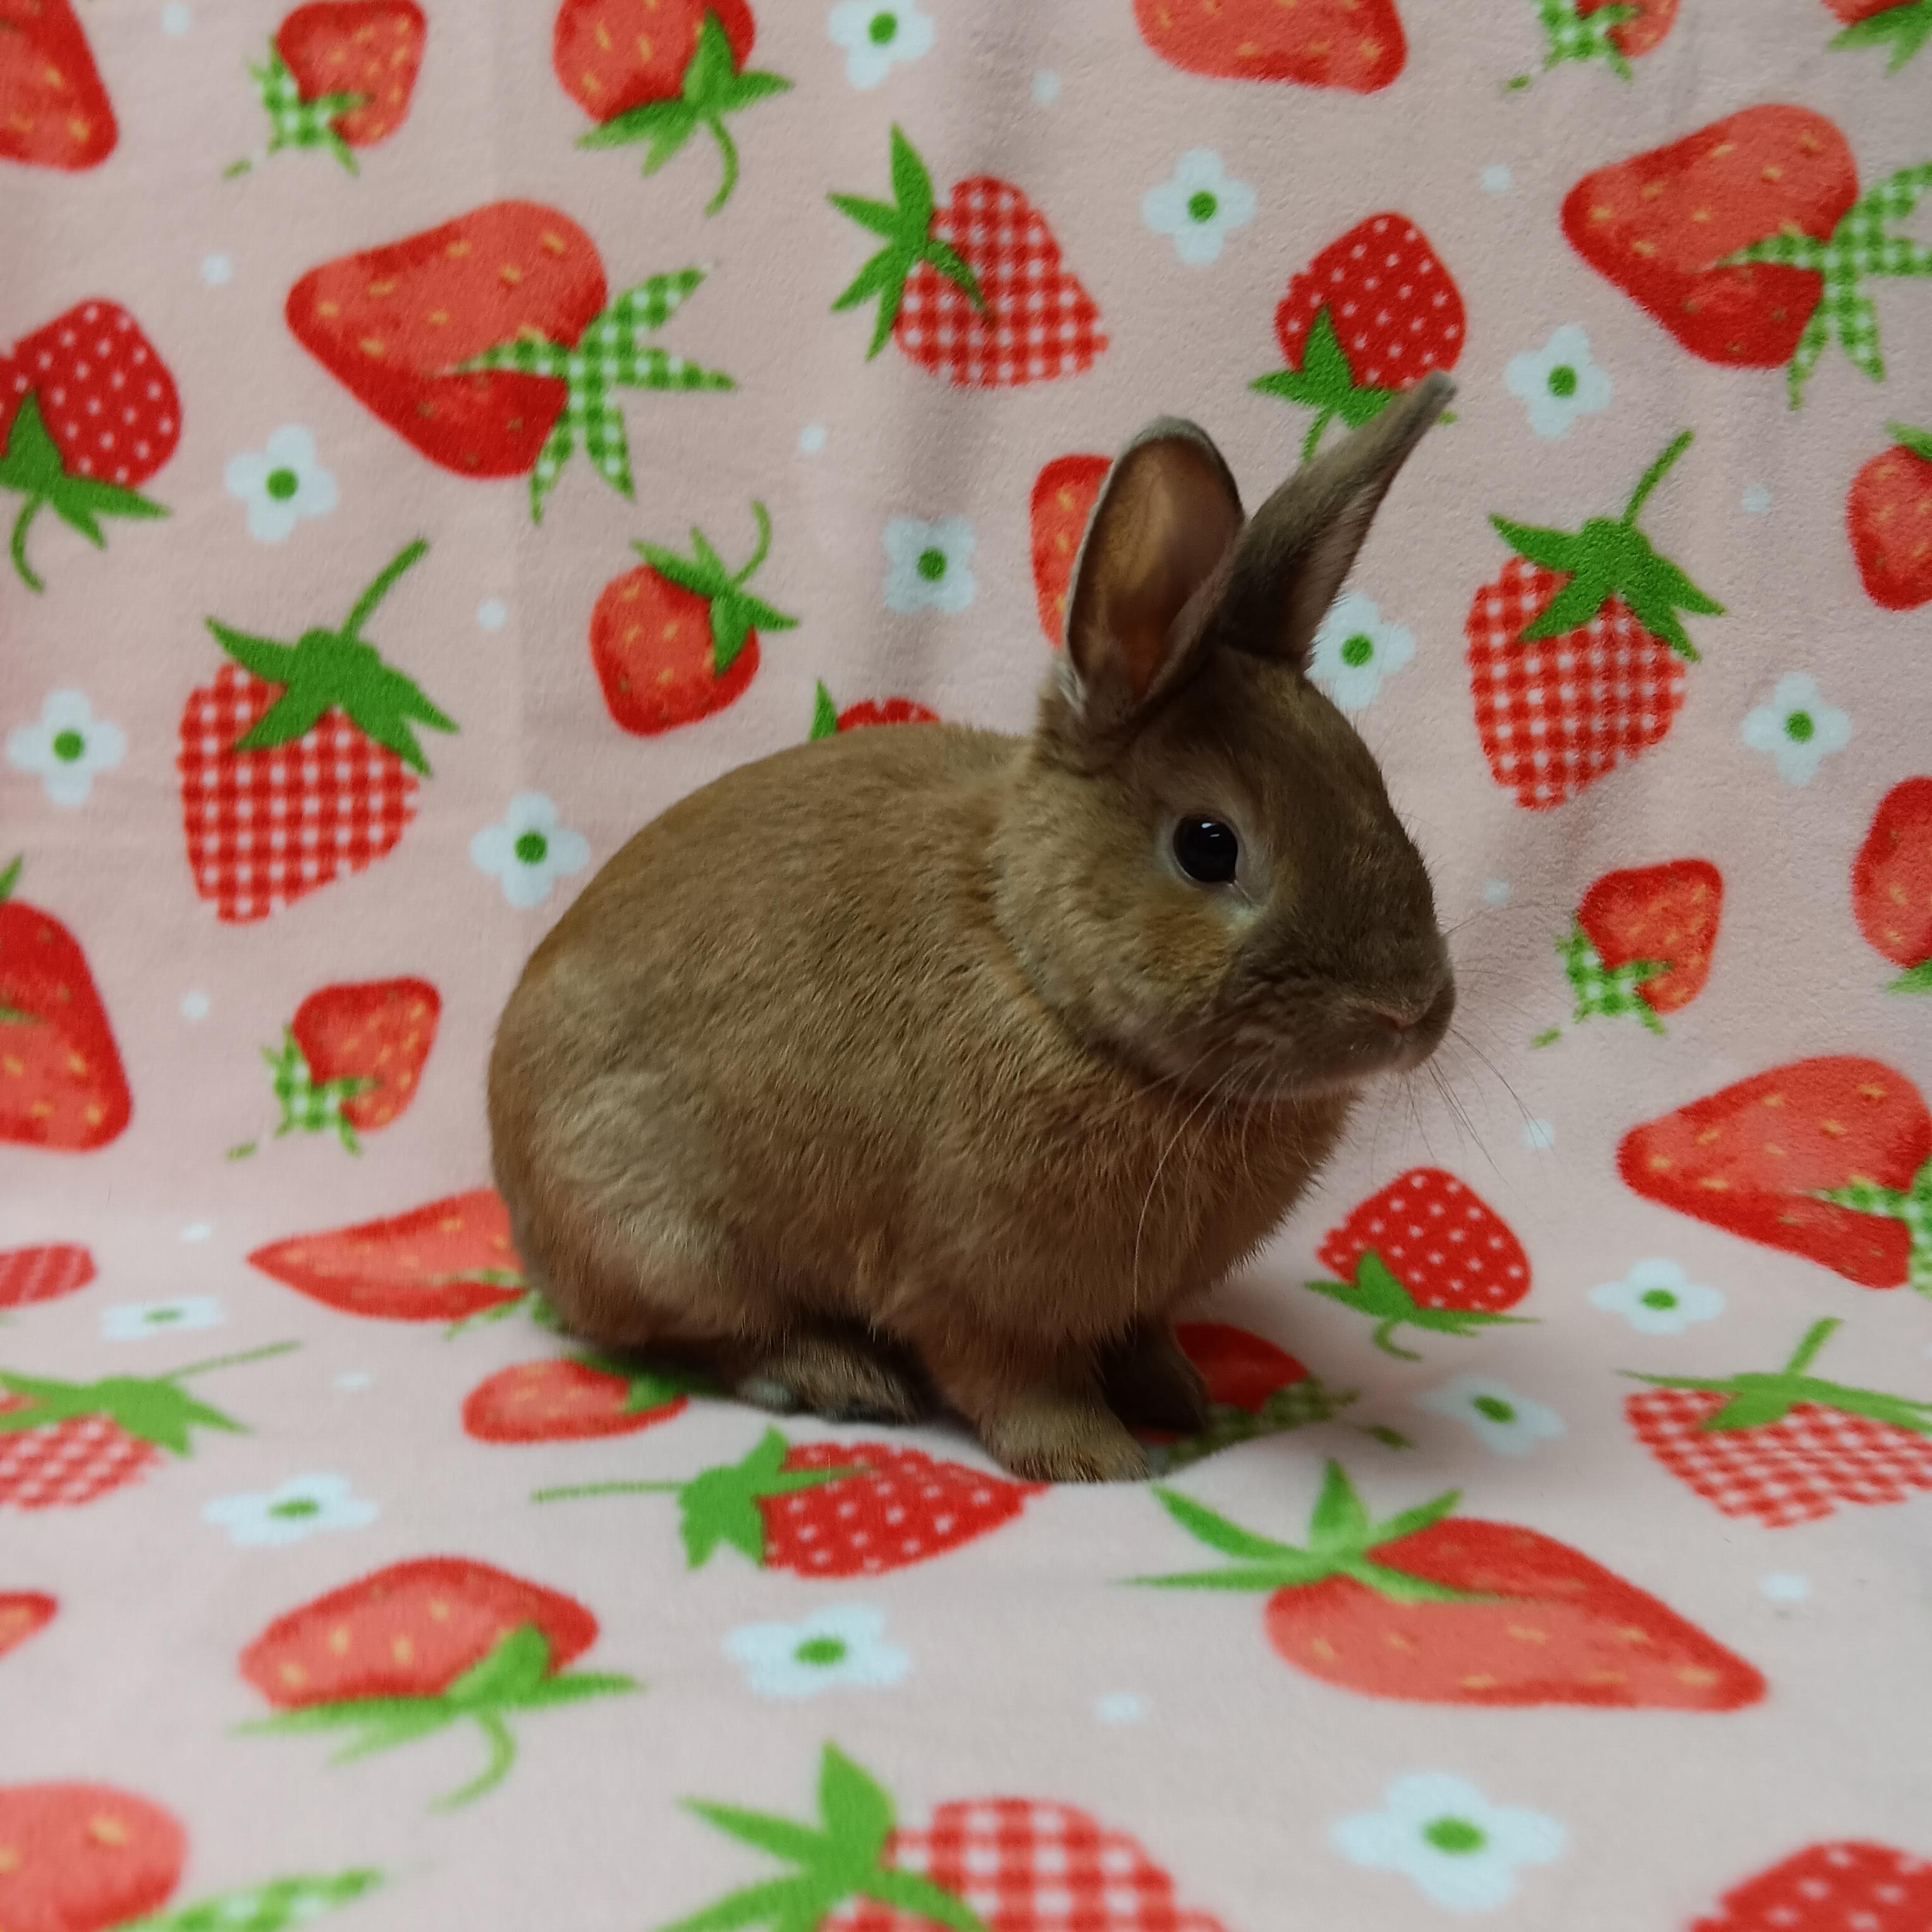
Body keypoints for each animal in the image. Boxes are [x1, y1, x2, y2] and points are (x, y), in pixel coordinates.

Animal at [488, 371, 1456, 1484]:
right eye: (1209, 846)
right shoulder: (966, 1290)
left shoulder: (1126, 1299)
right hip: (666, 1240)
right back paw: (835, 1377)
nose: (1411, 1013)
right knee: (703, 1332)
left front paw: (1183, 1399)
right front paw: (1102, 1460)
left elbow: (1141, 1340)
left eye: (1371, 783)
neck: (1035, 967)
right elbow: (1015, 1382)